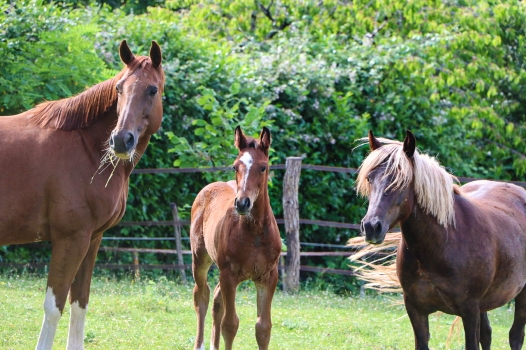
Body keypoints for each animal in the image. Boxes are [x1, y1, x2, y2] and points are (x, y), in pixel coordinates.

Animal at [0, 39, 165, 348]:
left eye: (152, 89)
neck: (85, 146)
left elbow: (80, 304)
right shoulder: (71, 239)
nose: (121, 140)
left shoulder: (91, 239)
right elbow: (54, 307)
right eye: (119, 88)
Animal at [191, 126, 282, 350]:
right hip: (200, 258)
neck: (255, 232)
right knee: (202, 296)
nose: (242, 203)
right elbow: (230, 324)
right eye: (235, 166)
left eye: (263, 167)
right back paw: (200, 344)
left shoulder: (269, 277)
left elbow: (263, 328)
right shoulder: (229, 275)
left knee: (216, 300)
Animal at [356, 131, 526, 350]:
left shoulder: (469, 310)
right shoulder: (416, 310)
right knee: (487, 335)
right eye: (370, 178)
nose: (371, 227)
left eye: (401, 180)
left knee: (515, 336)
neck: (440, 244)